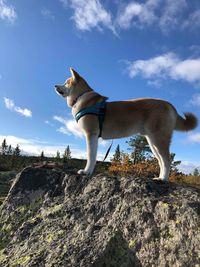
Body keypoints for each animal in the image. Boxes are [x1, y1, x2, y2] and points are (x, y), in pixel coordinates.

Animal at [55, 68, 198, 182]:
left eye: (66, 82)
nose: (55, 85)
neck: (81, 96)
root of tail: (170, 105)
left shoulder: (91, 134)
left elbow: (91, 156)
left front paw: (86, 172)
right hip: (153, 142)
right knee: (161, 161)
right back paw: (160, 177)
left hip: (159, 140)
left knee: (167, 160)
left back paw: (163, 179)